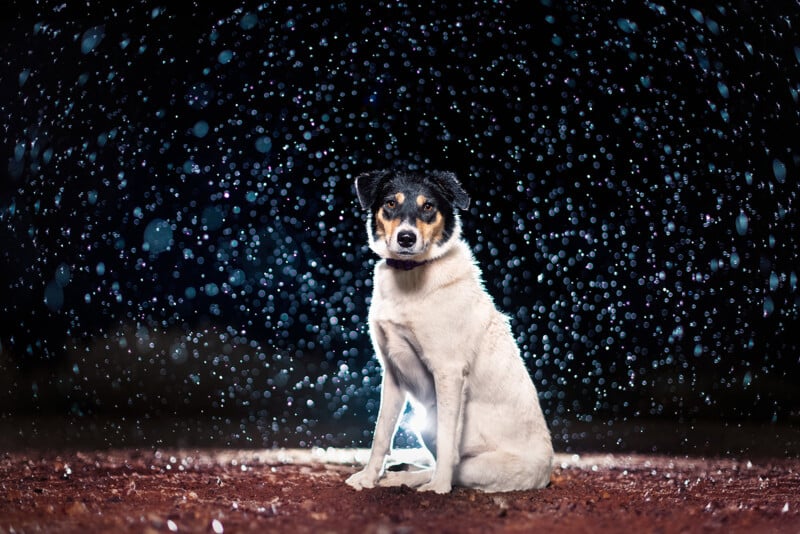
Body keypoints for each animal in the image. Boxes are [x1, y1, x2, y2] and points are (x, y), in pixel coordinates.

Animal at [346, 171, 552, 494]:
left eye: (428, 206)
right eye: (391, 203)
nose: (406, 238)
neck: (410, 277)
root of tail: (546, 471)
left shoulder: (449, 372)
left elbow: (446, 442)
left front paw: (438, 489)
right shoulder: (392, 374)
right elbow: (380, 434)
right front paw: (368, 478)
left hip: (475, 460)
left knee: (456, 465)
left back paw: (415, 479)